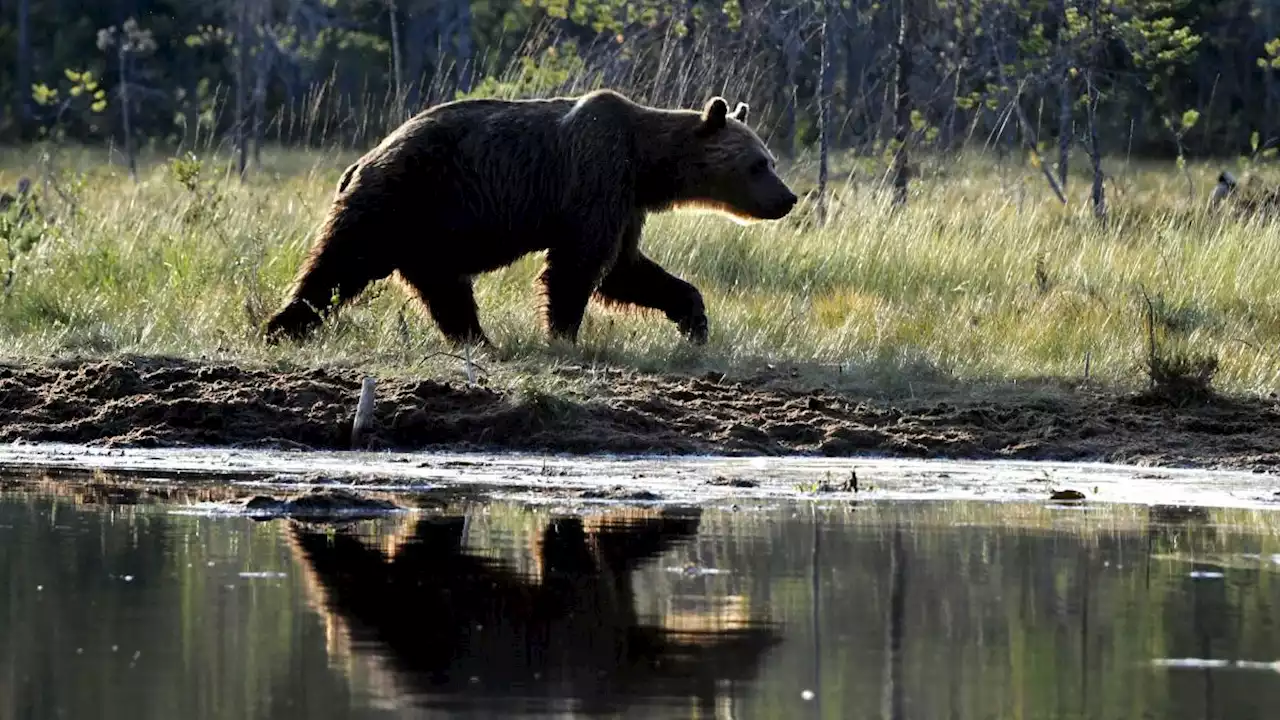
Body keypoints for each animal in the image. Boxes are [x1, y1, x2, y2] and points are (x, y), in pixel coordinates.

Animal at [263, 88, 793, 345]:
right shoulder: (595, 176)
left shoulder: (625, 203)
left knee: (445, 288)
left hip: (427, 232)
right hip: (400, 199)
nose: (787, 199)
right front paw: (563, 333)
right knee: (339, 264)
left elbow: (626, 269)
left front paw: (694, 321)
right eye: (759, 164)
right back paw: (282, 326)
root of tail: (360, 160)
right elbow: (580, 266)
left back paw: (479, 340)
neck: (646, 164)